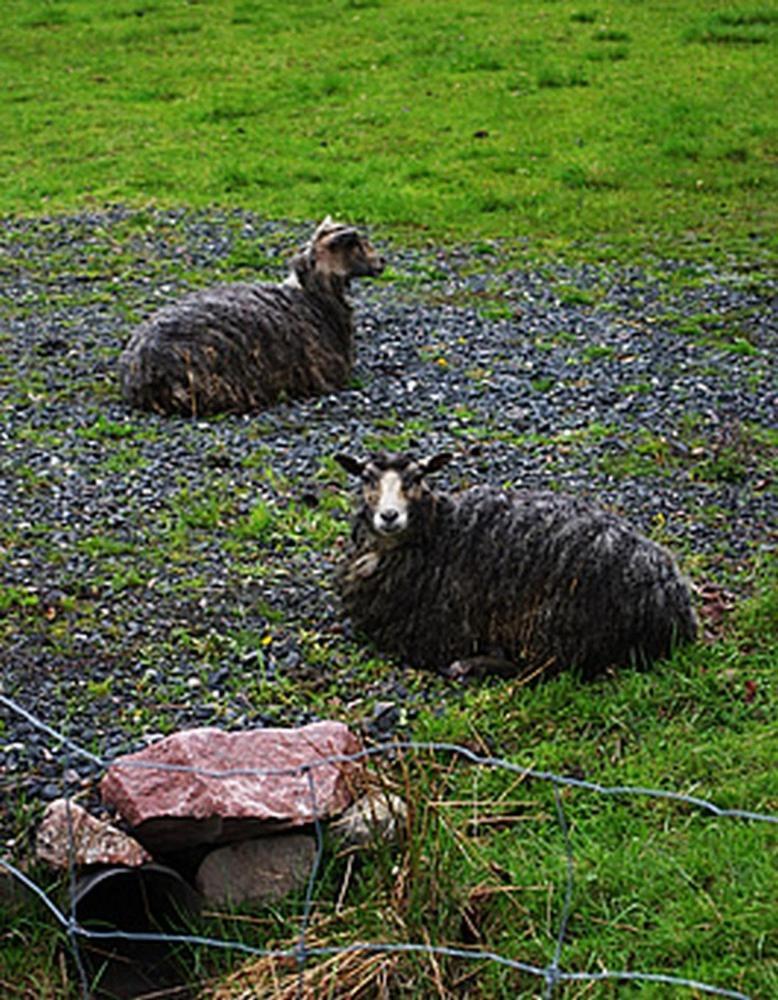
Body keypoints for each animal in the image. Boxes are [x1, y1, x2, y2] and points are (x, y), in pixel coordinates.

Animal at [334, 452, 696, 680]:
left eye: (417, 477)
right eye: (366, 478)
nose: (389, 516)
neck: (438, 532)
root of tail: (673, 599)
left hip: (557, 629)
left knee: (544, 670)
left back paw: (469, 665)